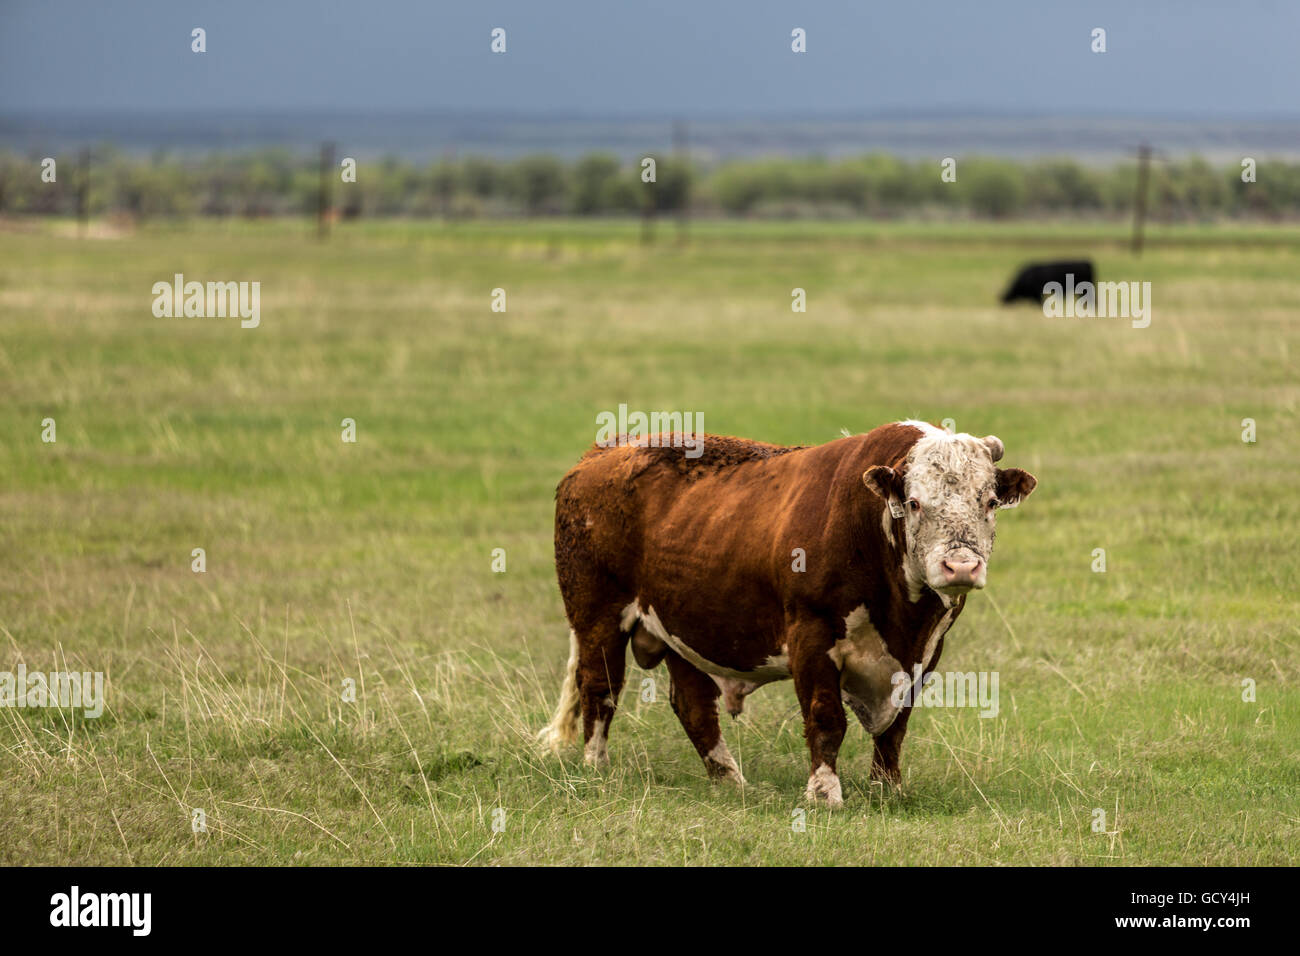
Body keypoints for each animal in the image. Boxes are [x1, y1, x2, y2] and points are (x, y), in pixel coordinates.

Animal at [537, 420, 1037, 807]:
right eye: (914, 503)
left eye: (989, 502)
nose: (961, 566)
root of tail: (603, 452)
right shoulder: (811, 635)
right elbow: (826, 718)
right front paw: (824, 793)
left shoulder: (926, 649)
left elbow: (895, 727)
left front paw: (887, 789)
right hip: (597, 615)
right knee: (599, 688)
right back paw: (597, 768)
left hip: (683, 627)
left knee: (693, 705)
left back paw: (730, 781)